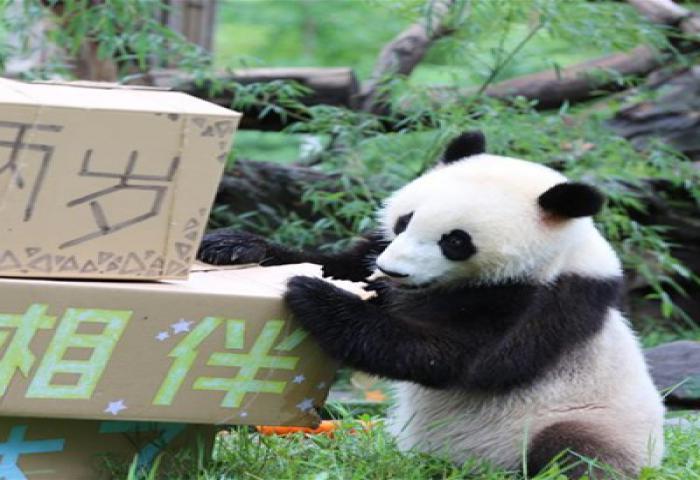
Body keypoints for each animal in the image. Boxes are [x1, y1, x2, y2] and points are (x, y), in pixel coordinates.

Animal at [198, 131, 665, 478]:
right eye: (405, 220)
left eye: (455, 241)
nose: (392, 271)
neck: (562, 251)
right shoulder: (376, 250)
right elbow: (339, 261)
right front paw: (234, 246)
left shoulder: (547, 305)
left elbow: (454, 357)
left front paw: (318, 297)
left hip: (588, 421)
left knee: (576, 455)